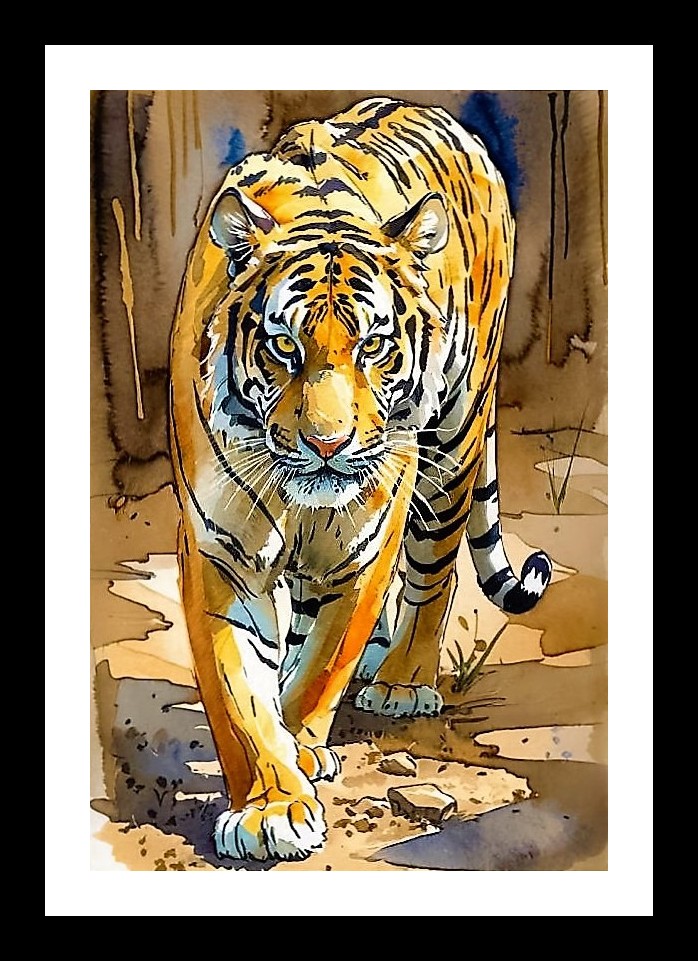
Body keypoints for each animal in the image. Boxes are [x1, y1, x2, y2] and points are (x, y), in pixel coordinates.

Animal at [169, 96, 552, 862]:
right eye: (284, 345)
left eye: (373, 345)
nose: (327, 443)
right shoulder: (219, 548)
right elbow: (238, 691)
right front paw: (272, 803)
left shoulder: (364, 542)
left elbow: (324, 661)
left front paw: (299, 752)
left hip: (455, 444)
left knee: (434, 576)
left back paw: (401, 678)